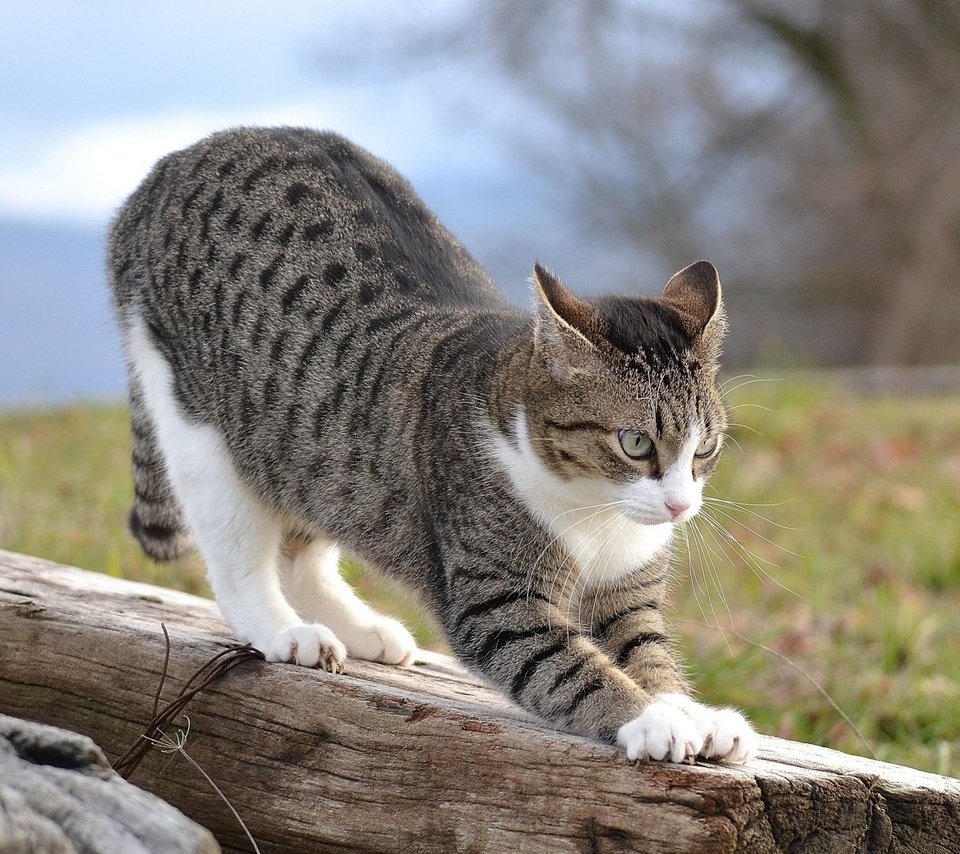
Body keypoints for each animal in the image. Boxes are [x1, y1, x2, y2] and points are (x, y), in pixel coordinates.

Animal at [110, 125, 756, 764]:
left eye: (704, 449)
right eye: (635, 442)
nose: (680, 506)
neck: (595, 513)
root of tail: (171, 164)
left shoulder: (627, 599)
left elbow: (649, 656)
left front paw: (694, 713)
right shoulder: (499, 603)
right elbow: (576, 671)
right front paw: (653, 719)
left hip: (318, 452)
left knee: (305, 543)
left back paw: (362, 629)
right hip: (198, 422)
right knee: (237, 555)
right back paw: (283, 631)